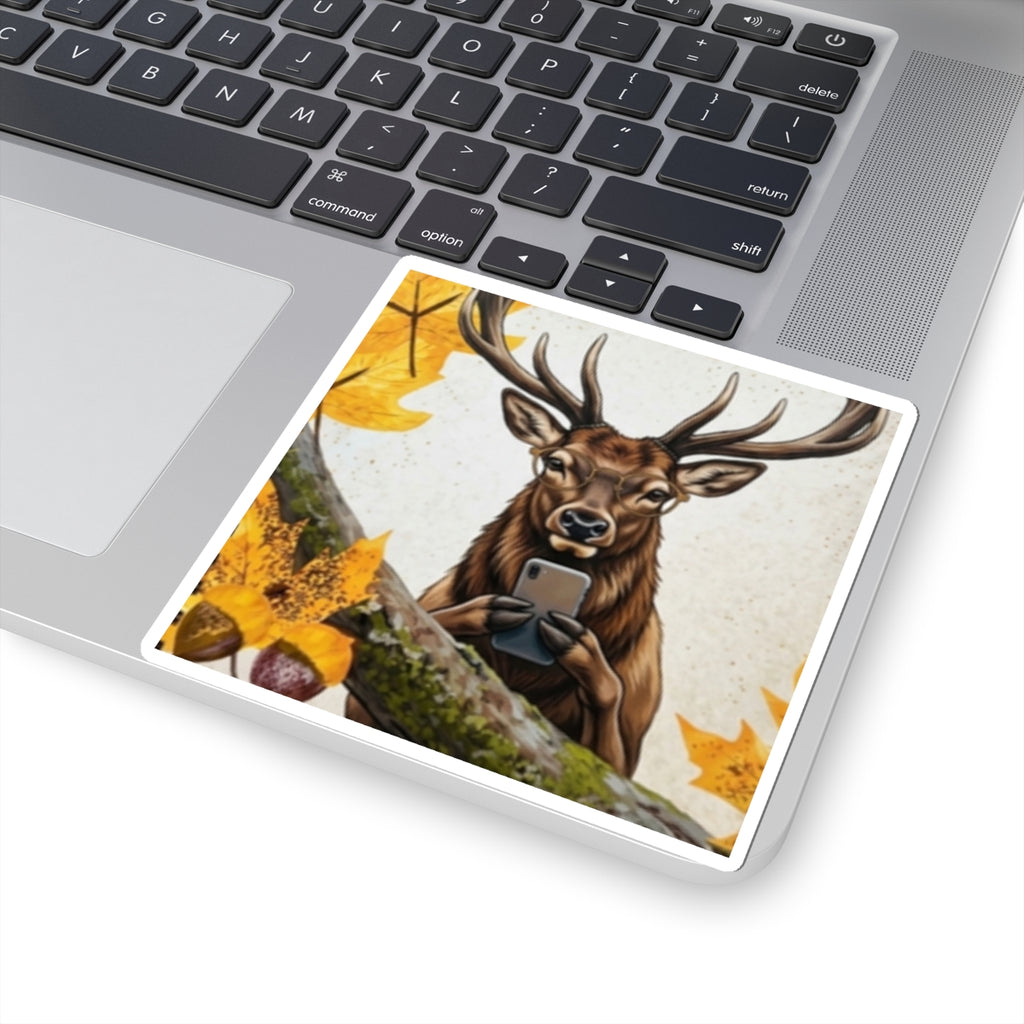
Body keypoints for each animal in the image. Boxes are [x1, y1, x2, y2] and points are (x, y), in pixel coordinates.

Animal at [345, 291, 889, 778]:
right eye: (557, 461)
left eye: (657, 494)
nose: (584, 522)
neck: (523, 678)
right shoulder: (365, 699)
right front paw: (486, 611)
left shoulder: (626, 753)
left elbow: (606, 719)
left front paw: (582, 652)